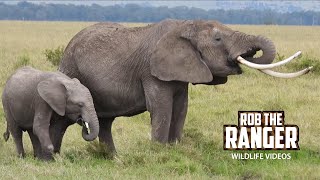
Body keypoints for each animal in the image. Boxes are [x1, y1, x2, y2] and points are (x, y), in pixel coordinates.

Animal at [58, 19, 310, 153]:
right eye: (217, 39)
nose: (307, 65)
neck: (186, 25)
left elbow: (181, 108)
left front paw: (174, 149)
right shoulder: (152, 72)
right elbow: (162, 108)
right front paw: (158, 153)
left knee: (105, 122)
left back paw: (112, 158)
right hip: (70, 69)